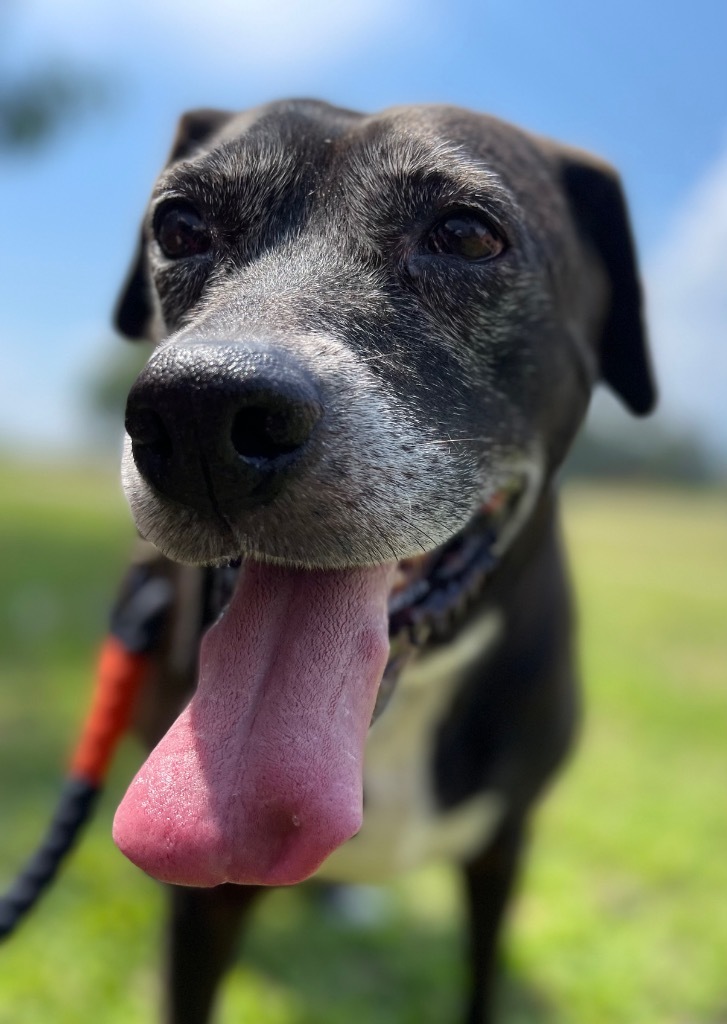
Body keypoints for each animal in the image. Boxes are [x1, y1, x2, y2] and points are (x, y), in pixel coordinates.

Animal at [111, 97, 659, 1024]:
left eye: (467, 235)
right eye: (178, 226)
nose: (198, 414)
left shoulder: (502, 845)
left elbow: (481, 984)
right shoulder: (202, 901)